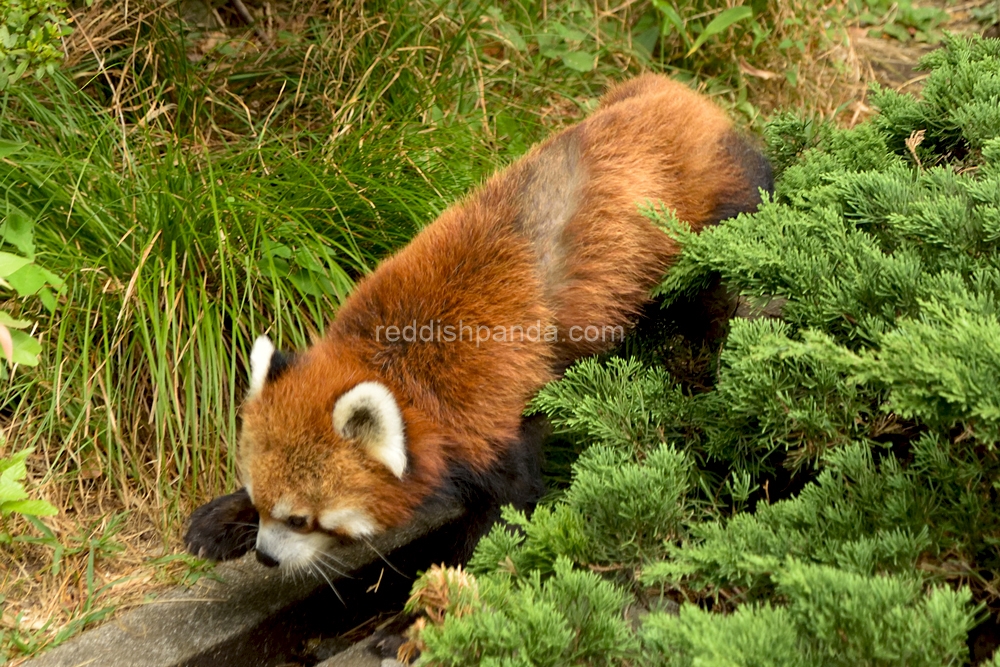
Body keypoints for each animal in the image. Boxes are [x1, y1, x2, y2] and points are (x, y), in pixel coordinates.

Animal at [188, 74, 776, 576]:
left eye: (301, 519)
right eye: (261, 502)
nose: (266, 557)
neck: (401, 365)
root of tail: (683, 96)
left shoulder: (491, 407)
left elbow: (508, 502)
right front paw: (220, 520)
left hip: (717, 217)